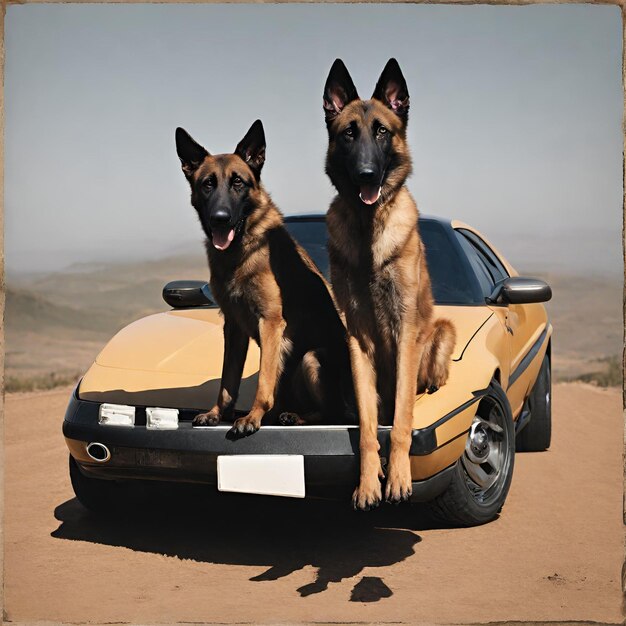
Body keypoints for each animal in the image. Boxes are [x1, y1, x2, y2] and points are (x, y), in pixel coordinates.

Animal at [173, 119, 354, 436]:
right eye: (207, 184)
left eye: (238, 182)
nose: (220, 218)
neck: (240, 252)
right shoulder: (234, 328)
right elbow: (227, 382)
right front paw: (217, 413)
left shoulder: (270, 322)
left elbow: (264, 381)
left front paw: (253, 417)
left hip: (311, 357)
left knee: (334, 413)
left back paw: (292, 417)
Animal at [322, 57, 454, 508]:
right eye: (349, 133)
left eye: (382, 131)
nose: (366, 174)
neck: (368, 230)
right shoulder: (357, 340)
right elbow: (367, 429)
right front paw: (367, 483)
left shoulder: (405, 331)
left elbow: (399, 423)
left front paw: (397, 477)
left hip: (440, 332)